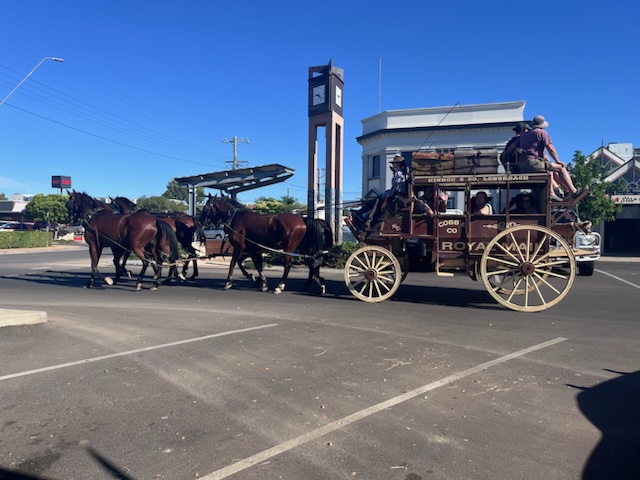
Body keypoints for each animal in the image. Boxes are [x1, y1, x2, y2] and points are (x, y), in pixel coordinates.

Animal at [199, 194, 328, 292]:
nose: (200, 221)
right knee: (312, 262)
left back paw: (280, 286)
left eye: (205, 207)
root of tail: (303, 219)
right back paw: (317, 282)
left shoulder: (239, 248)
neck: (237, 218)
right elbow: (251, 264)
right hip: (303, 247)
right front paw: (257, 279)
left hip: (288, 248)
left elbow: (234, 263)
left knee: (288, 265)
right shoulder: (252, 250)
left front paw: (228, 283)